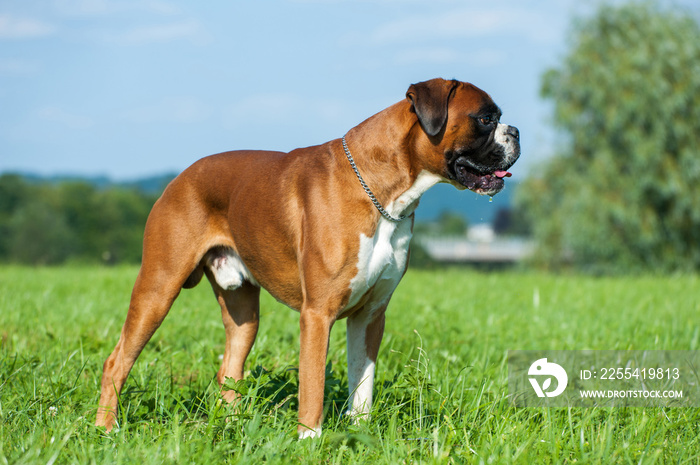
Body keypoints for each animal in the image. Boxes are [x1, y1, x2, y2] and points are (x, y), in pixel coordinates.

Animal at [94, 78, 520, 436]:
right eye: (486, 118)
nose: (516, 132)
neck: (382, 191)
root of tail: (179, 178)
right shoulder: (318, 314)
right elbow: (313, 385)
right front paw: (310, 440)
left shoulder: (370, 316)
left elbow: (362, 383)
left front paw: (360, 434)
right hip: (158, 289)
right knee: (117, 362)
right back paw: (106, 429)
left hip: (244, 315)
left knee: (229, 370)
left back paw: (233, 428)